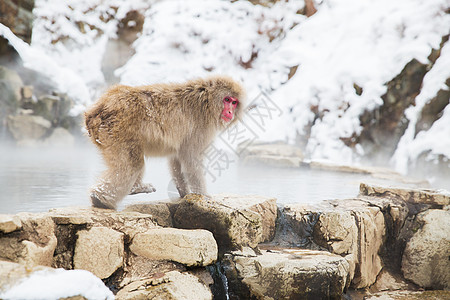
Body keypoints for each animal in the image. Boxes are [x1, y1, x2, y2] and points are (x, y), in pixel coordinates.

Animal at [84, 75, 246, 209]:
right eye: (227, 100)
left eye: (234, 102)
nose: (230, 112)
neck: (206, 102)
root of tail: (98, 109)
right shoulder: (200, 129)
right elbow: (191, 159)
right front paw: (203, 195)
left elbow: (177, 159)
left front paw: (184, 192)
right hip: (117, 130)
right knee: (132, 165)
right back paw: (99, 199)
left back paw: (135, 188)